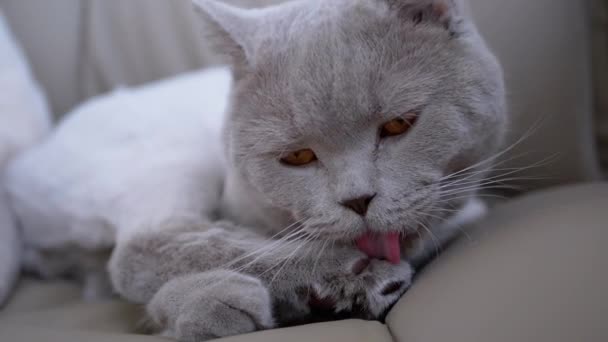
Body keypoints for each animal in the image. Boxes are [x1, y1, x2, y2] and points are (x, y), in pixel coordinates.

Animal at [4, 0, 506, 340]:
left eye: (399, 125)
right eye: (298, 157)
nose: (358, 199)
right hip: (171, 157)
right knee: (140, 247)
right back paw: (342, 277)